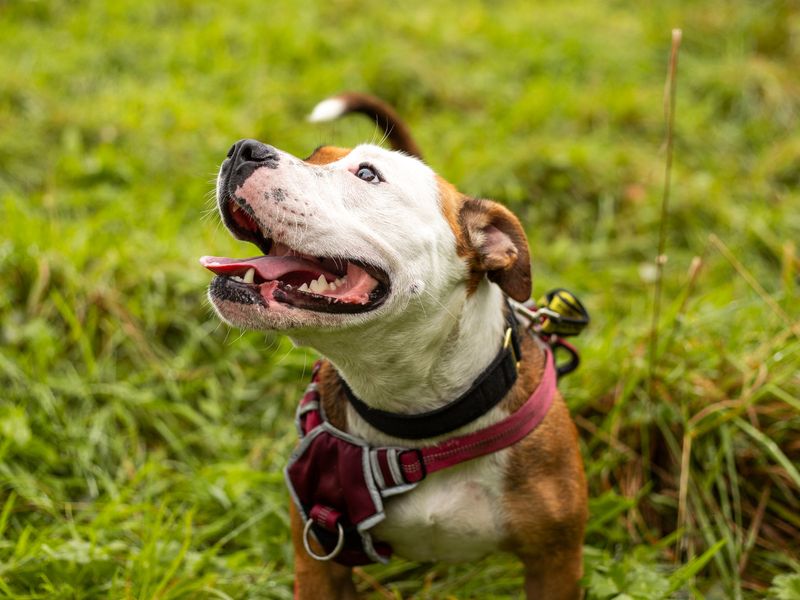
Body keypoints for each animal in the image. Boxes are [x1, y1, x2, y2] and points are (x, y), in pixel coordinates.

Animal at [200, 95, 588, 600]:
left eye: (367, 174)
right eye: (312, 156)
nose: (243, 150)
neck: (418, 421)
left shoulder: (555, 561)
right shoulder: (319, 555)